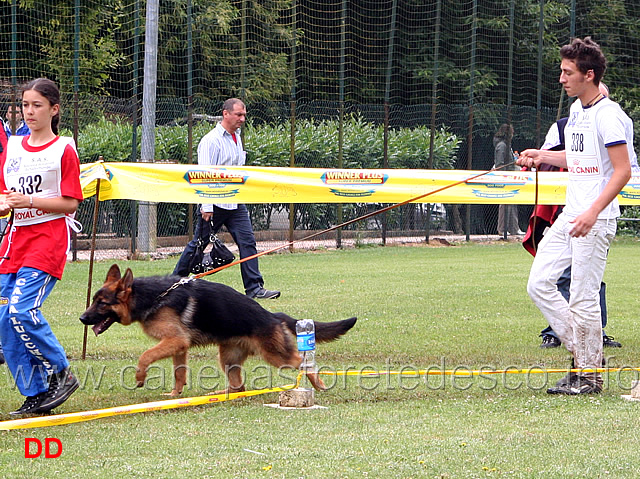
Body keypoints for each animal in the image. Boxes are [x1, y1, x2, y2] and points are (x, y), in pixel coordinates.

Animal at [80, 264, 358, 396]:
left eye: (102, 303)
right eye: (94, 300)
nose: (82, 318)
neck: (151, 297)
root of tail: (271, 315)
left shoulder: (174, 340)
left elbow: (145, 356)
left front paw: (140, 377)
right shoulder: (178, 346)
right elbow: (179, 373)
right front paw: (176, 394)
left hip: (276, 356)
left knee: (305, 362)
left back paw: (318, 384)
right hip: (228, 359)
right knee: (239, 387)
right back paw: (221, 394)